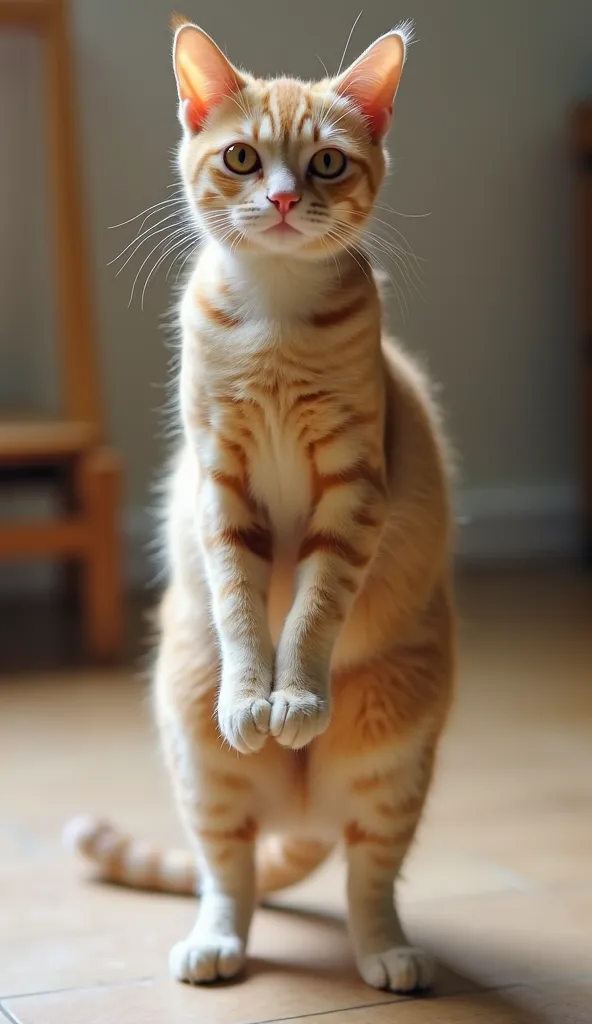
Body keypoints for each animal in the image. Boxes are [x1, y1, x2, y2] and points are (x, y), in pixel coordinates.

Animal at [64, 16, 454, 991]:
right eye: (242, 157)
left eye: (325, 164)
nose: (280, 200)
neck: (275, 322)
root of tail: (303, 805)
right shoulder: (221, 488)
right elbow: (245, 612)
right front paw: (255, 699)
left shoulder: (353, 491)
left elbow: (311, 612)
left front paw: (295, 694)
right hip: (201, 760)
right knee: (227, 874)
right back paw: (215, 943)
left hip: (394, 760)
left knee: (368, 879)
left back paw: (389, 951)